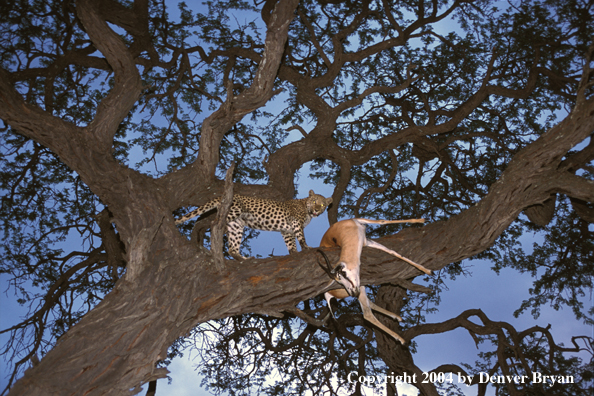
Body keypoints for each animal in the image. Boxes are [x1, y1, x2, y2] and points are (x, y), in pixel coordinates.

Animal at [176, 189, 332, 260]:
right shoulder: (295, 223)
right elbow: (301, 237)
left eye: (322, 205)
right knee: (215, 222)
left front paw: (294, 252)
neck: (307, 209)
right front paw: (307, 248)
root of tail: (222, 196)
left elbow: (291, 243)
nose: (317, 209)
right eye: (315, 201)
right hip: (233, 212)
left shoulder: (286, 231)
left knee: (232, 248)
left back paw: (243, 258)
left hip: (236, 226)